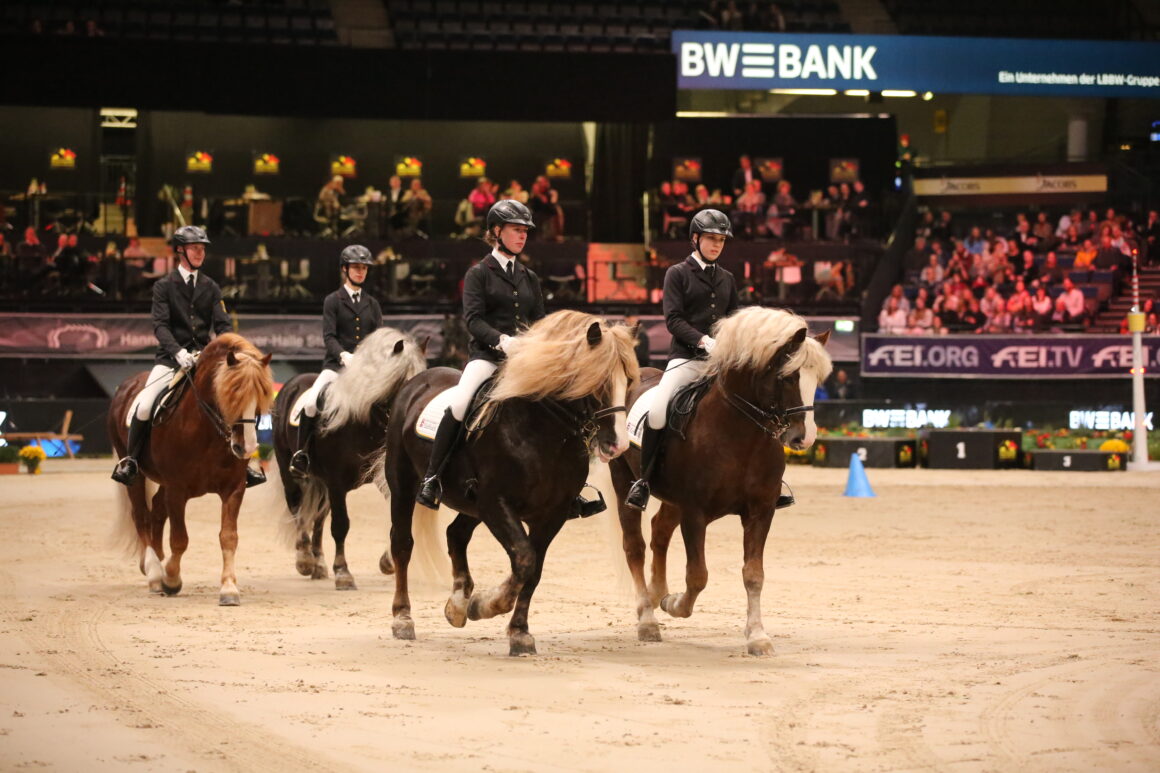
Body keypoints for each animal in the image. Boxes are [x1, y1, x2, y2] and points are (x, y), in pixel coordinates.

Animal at [106, 331, 273, 603]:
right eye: (229, 396)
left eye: (259, 400)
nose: (246, 448)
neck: (206, 430)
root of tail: (127, 385)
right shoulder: (177, 489)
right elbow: (180, 539)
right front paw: (171, 580)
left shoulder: (234, 488)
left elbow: (229, 537)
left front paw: (229, 588)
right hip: (134, 472)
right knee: (141, 515)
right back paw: (154, 573)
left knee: (156, 511)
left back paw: (158, 565)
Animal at [269, 322, 429, 587]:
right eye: (403, 380)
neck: (363, 423)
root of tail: (291, 385)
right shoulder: (336, 484)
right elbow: (341, 525)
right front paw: (343, 573)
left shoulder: (384, 480)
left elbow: (395, 516)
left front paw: (387, 561)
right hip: (290, 470)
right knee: (297, 509)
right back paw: (304, 560)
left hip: (320, 484)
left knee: (318, 519)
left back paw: (318, 565)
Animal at [382, 311, 640, 654]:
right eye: (597, 382)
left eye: (629, 380)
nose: (618, 445)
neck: (541, 431)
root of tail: (419, 380)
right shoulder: (497, 504)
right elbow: (524, 558)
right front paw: (486, 605)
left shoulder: (552, 514)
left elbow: (533, 570)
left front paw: (518, 632)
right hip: (403, 483)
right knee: (402, 543)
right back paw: (403, 618)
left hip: (472, 504)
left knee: (456, 534)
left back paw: (457, 605)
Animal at [607, 304, 835, 654]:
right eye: (787, 377)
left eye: (818, 380)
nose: (803, 439)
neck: (739, 434)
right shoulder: (695, 513)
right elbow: (697, 575)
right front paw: (676, 605)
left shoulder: (760, 512)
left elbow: (754, 574)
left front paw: (757, 636)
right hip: (624, 482)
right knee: (635, 545)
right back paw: (648, 618)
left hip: (673, 499)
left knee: (659, 530)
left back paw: (659, 593)